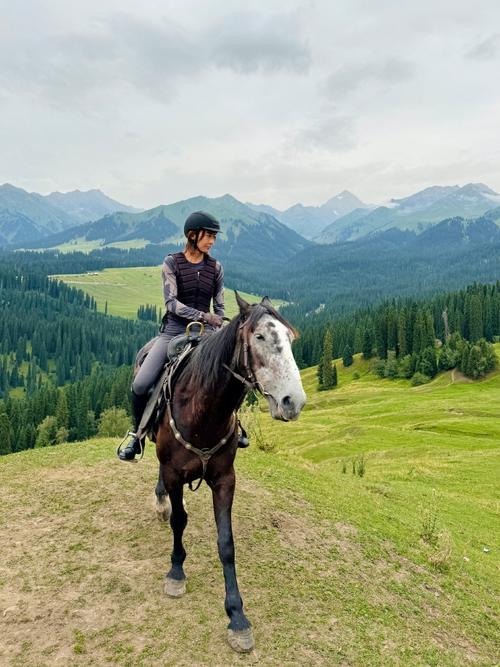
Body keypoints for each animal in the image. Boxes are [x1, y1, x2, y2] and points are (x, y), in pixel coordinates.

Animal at [152, 294, 306, 656]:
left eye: (290, 339)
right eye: (259, 337)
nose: (293, 402)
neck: (203, 411)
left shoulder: (225, 479)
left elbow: (226, 543)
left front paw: (237, 616)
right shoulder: (174, 472)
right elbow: (179, 521)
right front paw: (176, 573)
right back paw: (161, 500)